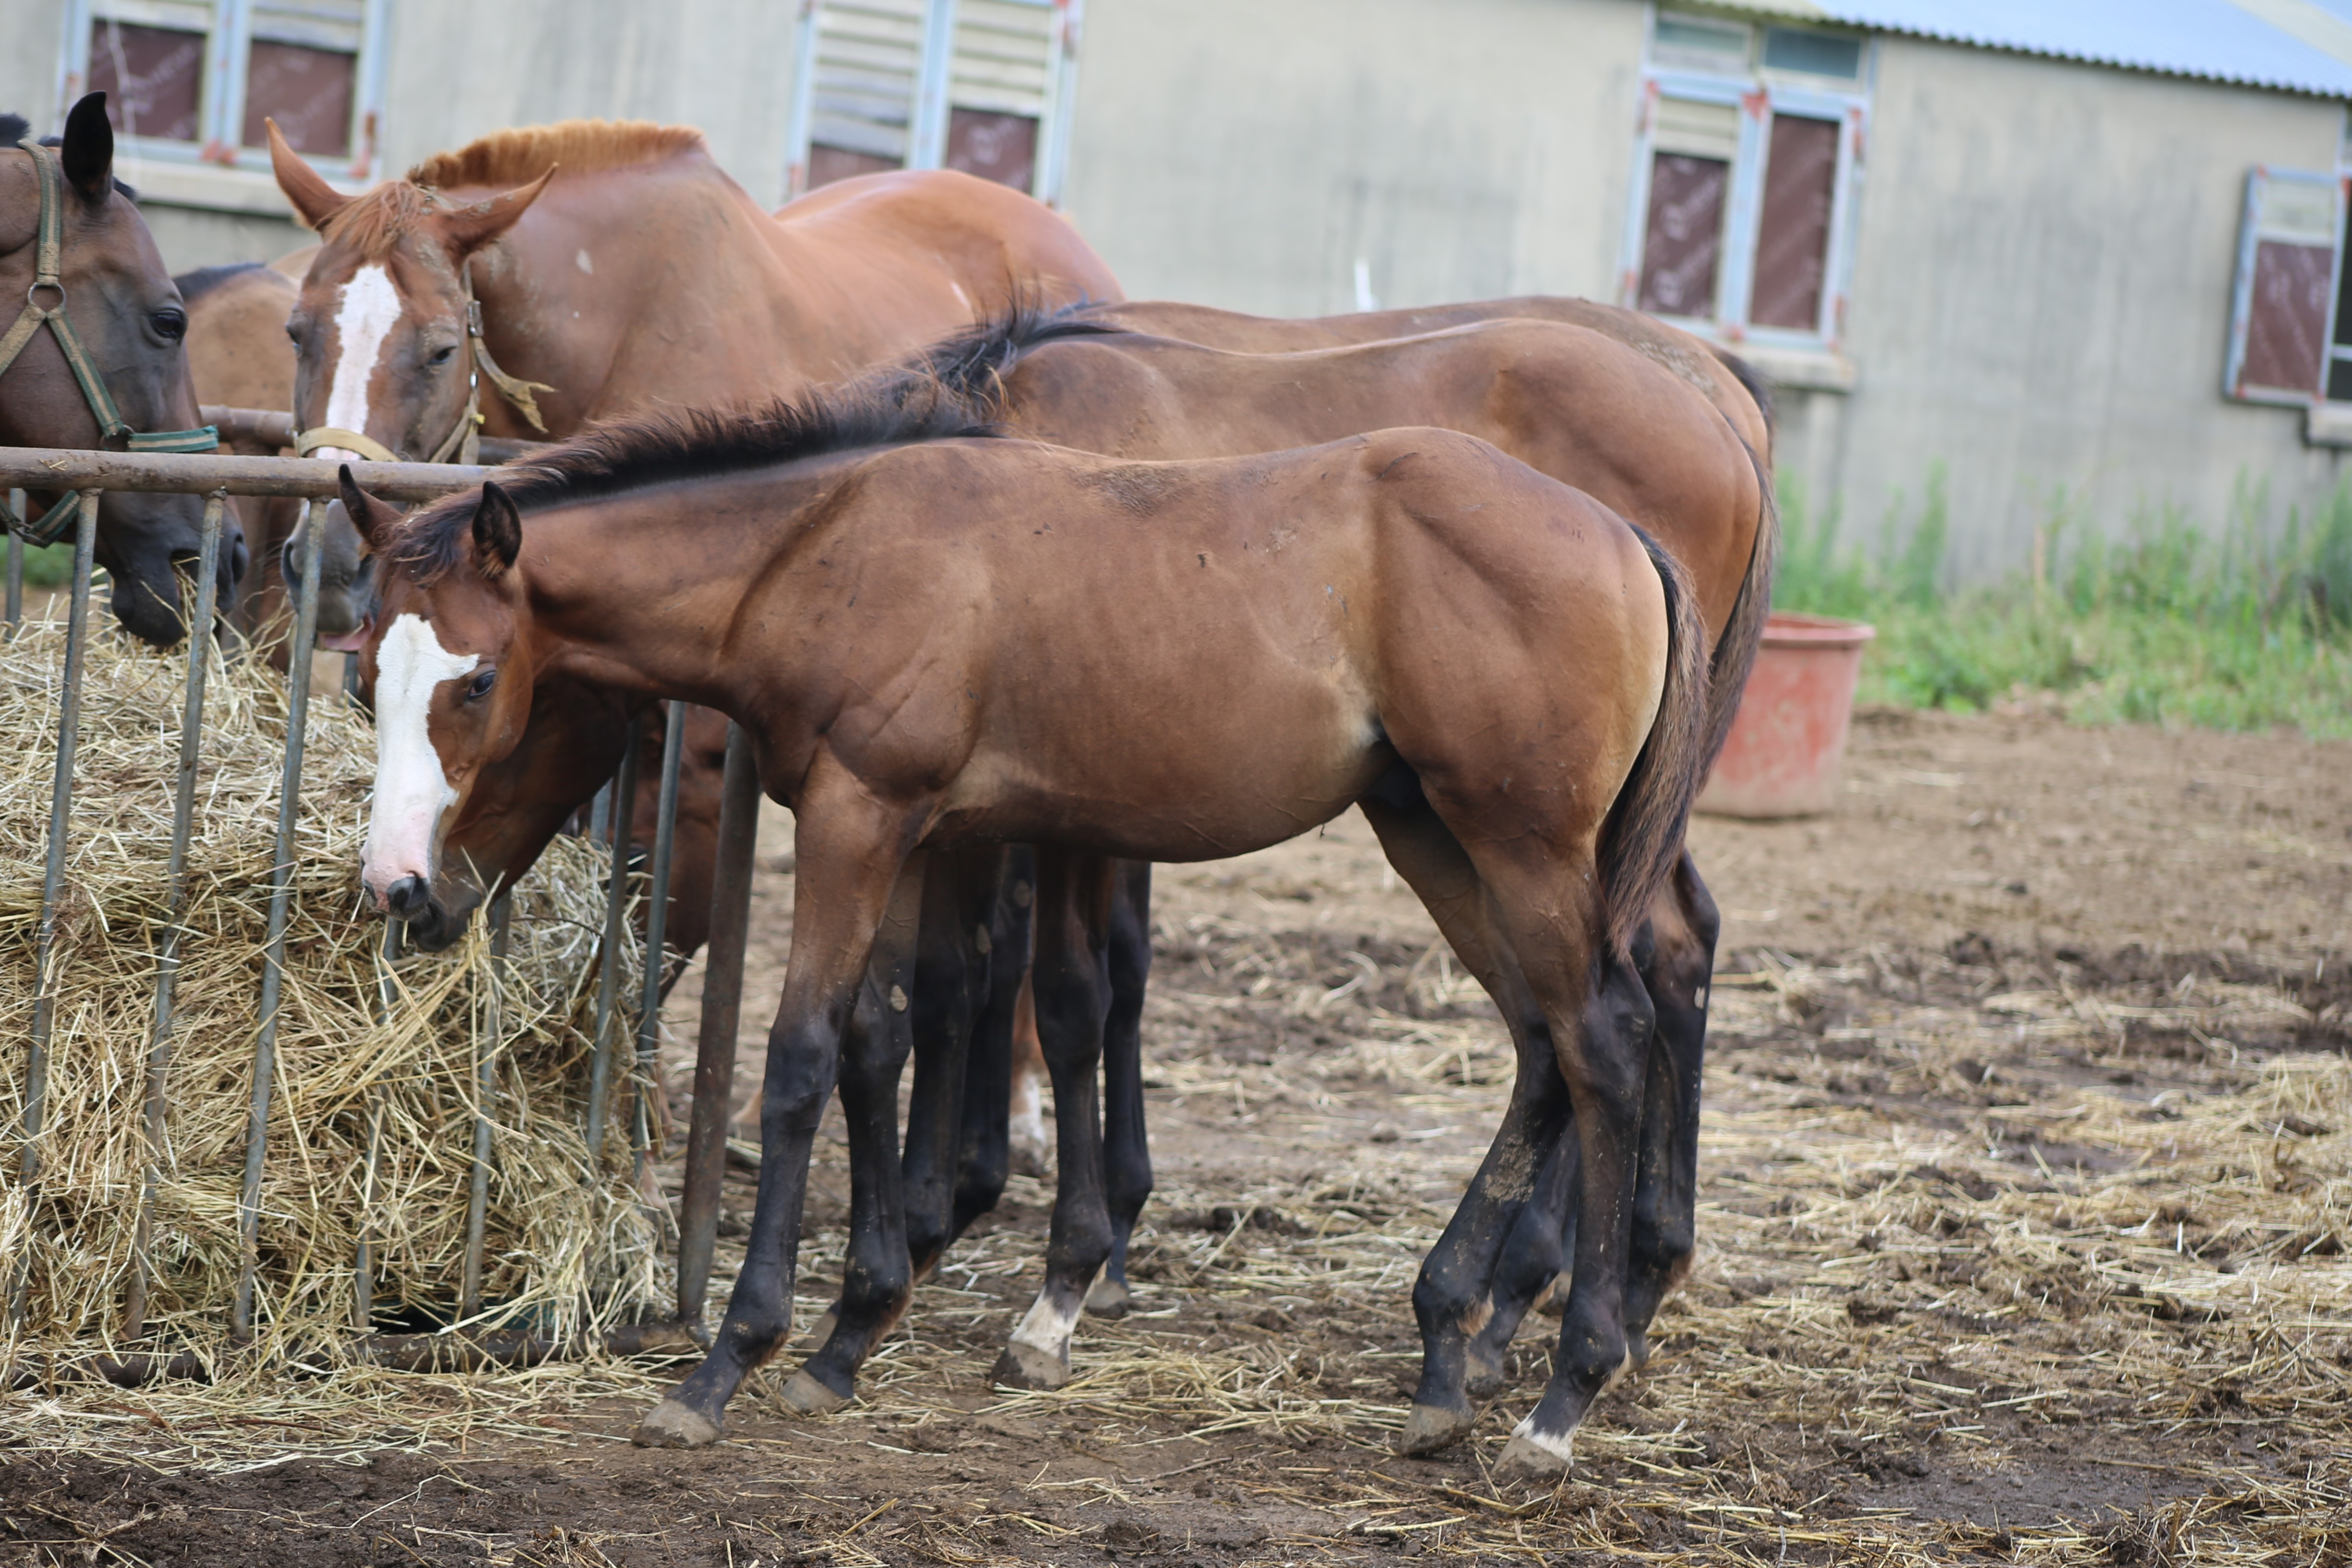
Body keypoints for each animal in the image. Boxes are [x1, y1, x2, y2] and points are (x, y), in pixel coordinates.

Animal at [341, 362, 1712, 1476]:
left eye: (477, 683)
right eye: (364, 677)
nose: (404, 891)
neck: (822, 552)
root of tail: (1629, 539)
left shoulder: (858, 818)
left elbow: (797, 1062)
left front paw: (729, 1362)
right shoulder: (910, 835)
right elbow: (878, 1042)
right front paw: (850, 1335)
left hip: (1519, 846)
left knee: (1601, 1038)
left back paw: (1563, 1394)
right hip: (1428, 827)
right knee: (1541, 1044)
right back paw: (1444, 1358)